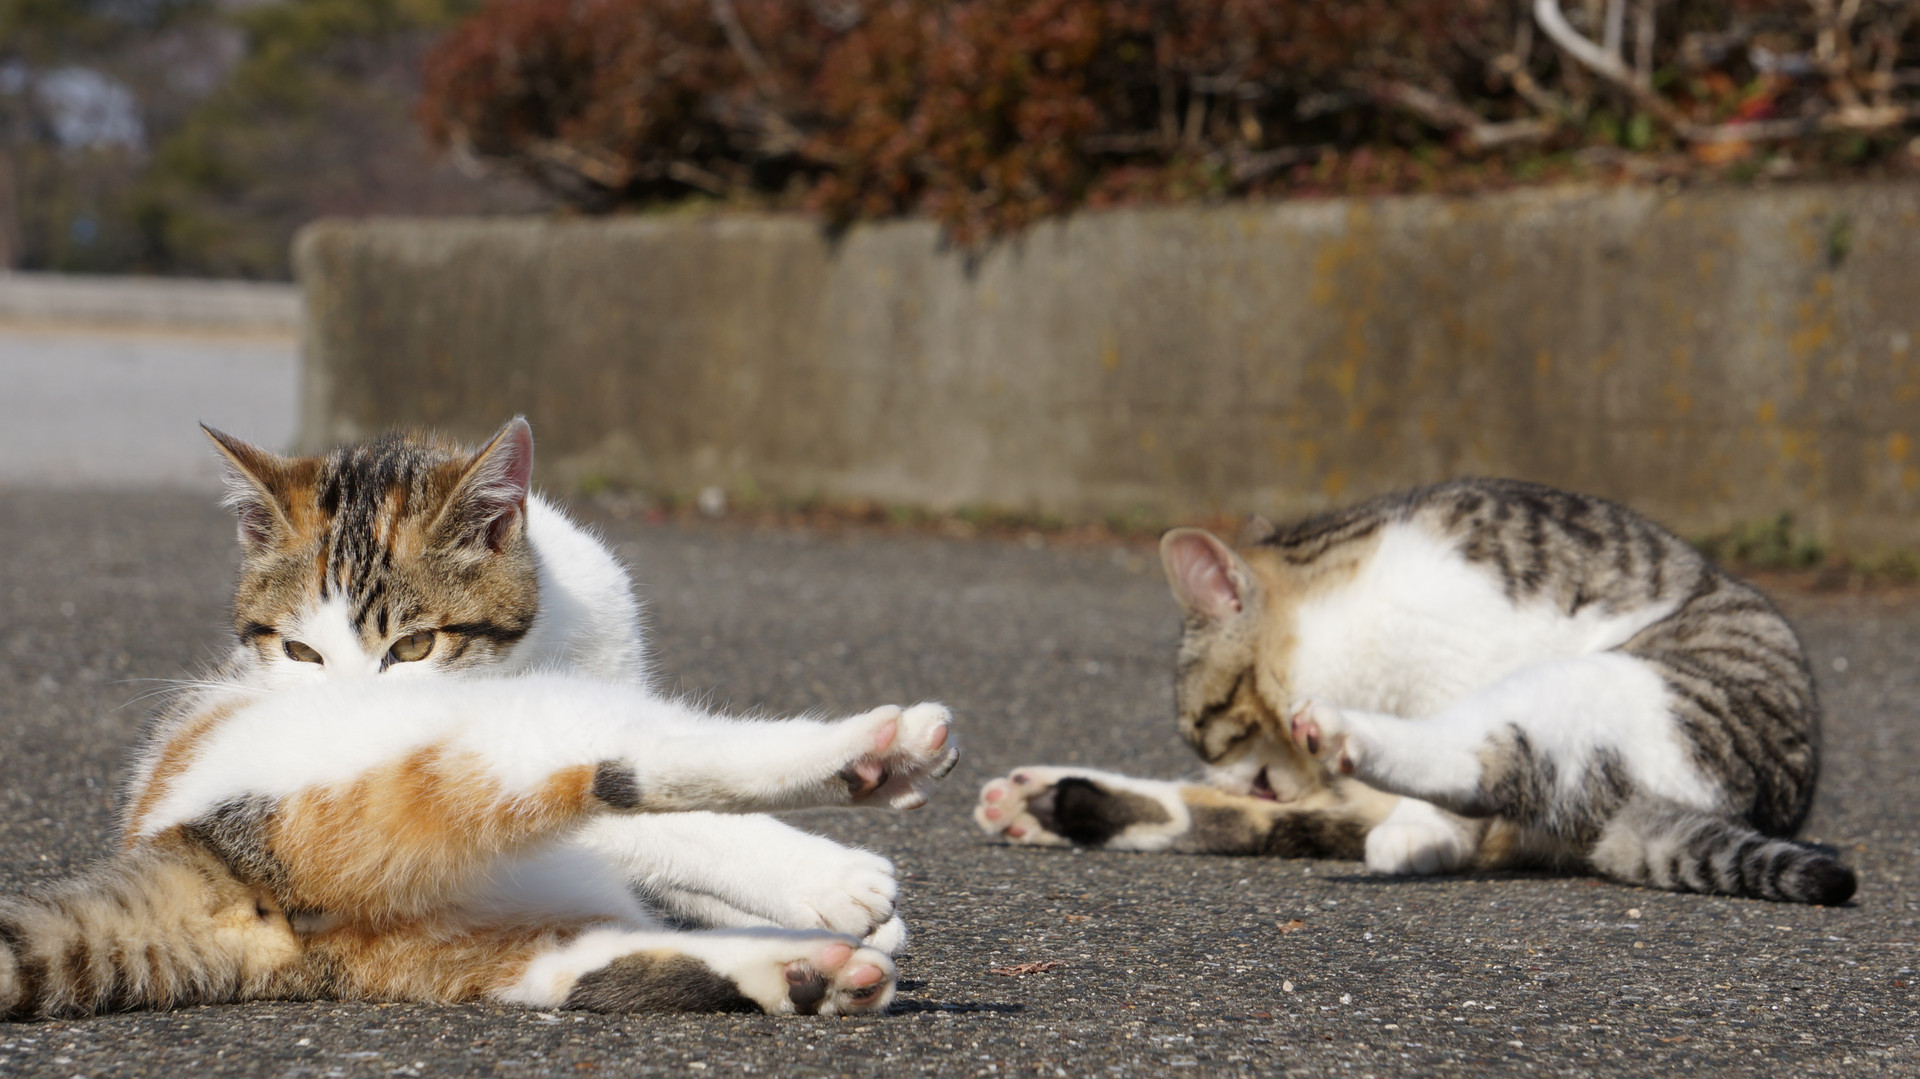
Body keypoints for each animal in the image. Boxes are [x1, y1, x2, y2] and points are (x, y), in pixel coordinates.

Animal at [0, 417, 960, 1020]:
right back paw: (877, 758)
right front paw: (832, 884)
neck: (541, 644)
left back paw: (804, 970)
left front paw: (848, 920)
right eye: (301, 653)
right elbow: (667, 829)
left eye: (416, 645)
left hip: (474, 934)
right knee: (619, 762)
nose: (350, 701)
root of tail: (209, 859)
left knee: (579, 957)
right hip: (468, 752)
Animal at [975, 478, 1855, 906]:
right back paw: (1044, 800)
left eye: (1209, 724)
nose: (1220, 765)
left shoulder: (1470, 648)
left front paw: (1419, 833)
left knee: (1492, 759)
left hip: (1611, 687)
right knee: (1238, 818)